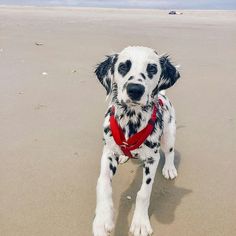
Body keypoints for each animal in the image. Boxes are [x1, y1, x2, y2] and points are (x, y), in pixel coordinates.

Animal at [92, 46, 181, 236]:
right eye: (123, 67)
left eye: (152, 68)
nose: (135, 89)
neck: (131, 120)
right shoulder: (108, 153)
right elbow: (103, 183)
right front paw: (102, 219)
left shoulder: (152, 160)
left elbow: (143, 193)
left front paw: (140, 222)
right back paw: (124, 156)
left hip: (169, 135)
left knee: (169, 152)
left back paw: (169, 168)